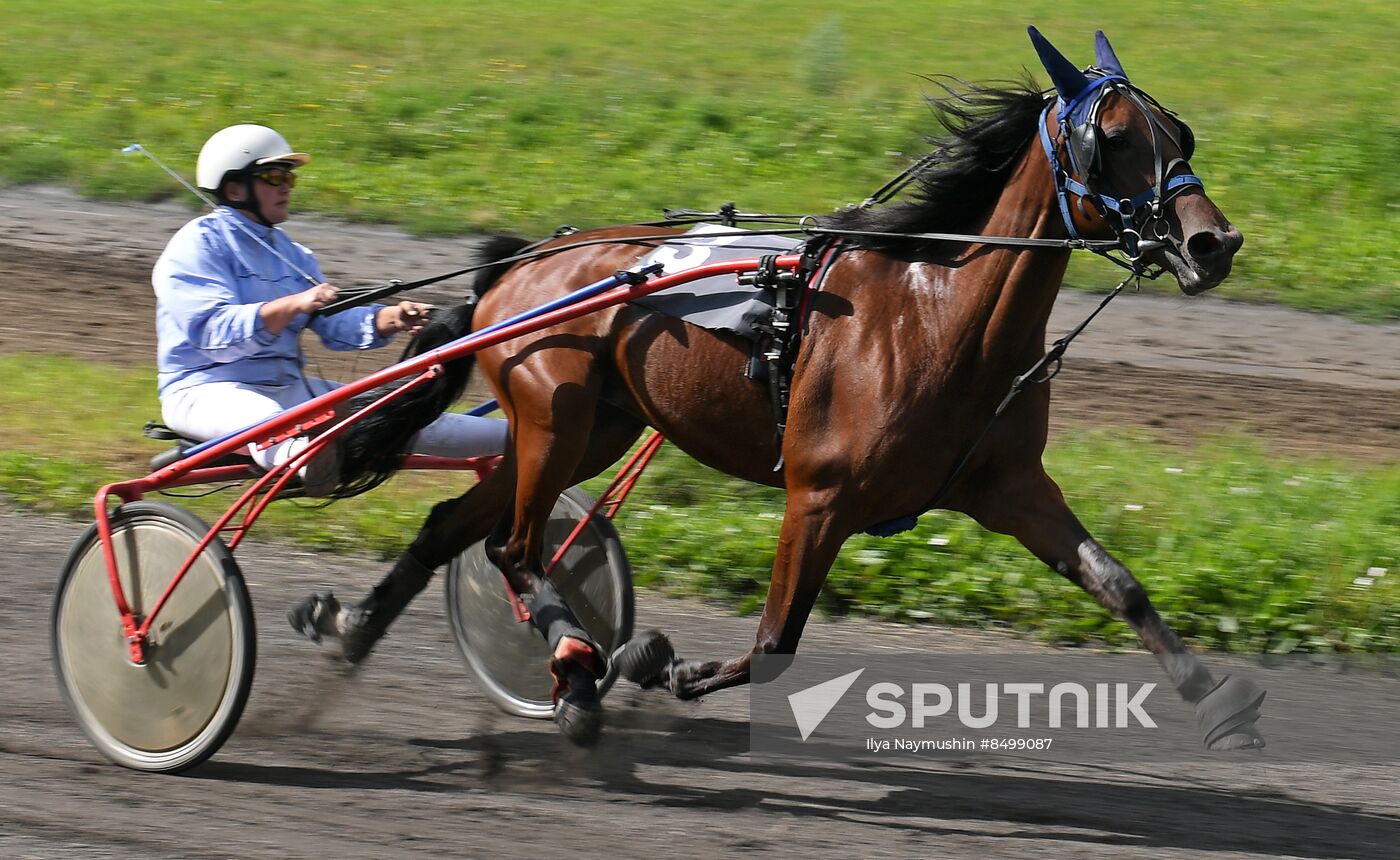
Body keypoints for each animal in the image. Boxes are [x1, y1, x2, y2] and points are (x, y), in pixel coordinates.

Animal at [316, 26, 1261, 750]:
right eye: (1114, 137)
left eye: (1180, 133)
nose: (1213, 243)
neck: (937, 319)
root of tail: (523, 258)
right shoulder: (820, 495)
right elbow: (776, 640)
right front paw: (662, 663)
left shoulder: (1008, 486)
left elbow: (1118, 582)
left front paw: (1220, 702)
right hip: (556, 413)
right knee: (513, 548)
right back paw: (579, 679)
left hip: (587, 429)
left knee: (455, 526)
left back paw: (357, 632)